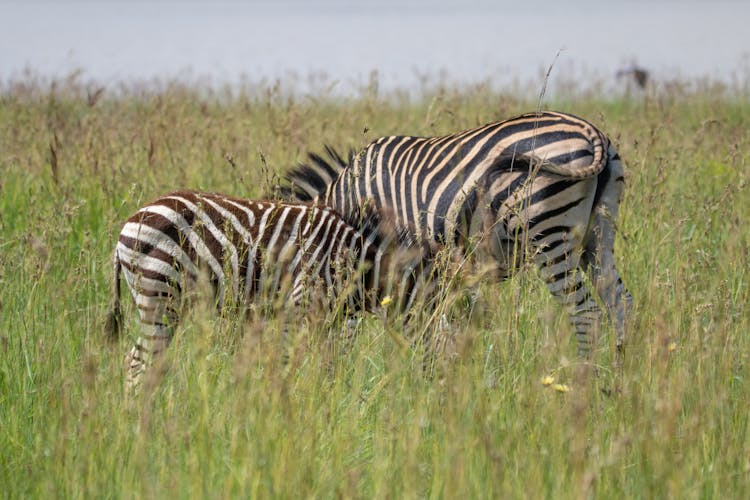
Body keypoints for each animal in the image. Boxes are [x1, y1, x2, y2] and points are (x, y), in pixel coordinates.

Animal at [108, 191, 444, 390]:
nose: (442, 394)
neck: (355, 260)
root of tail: (130, 221)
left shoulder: (331, 321)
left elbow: (331, 369)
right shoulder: (297, 307)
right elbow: (285, 365)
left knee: (139, 360)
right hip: (160, 295)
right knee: (138, 363)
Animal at [282, 110, 636, 360]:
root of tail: (594, 134)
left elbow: (357, 330)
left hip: (549, 235)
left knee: (587, 314)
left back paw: (585, 387)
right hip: (598, 237)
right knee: (621, 304)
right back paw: (621, 384)